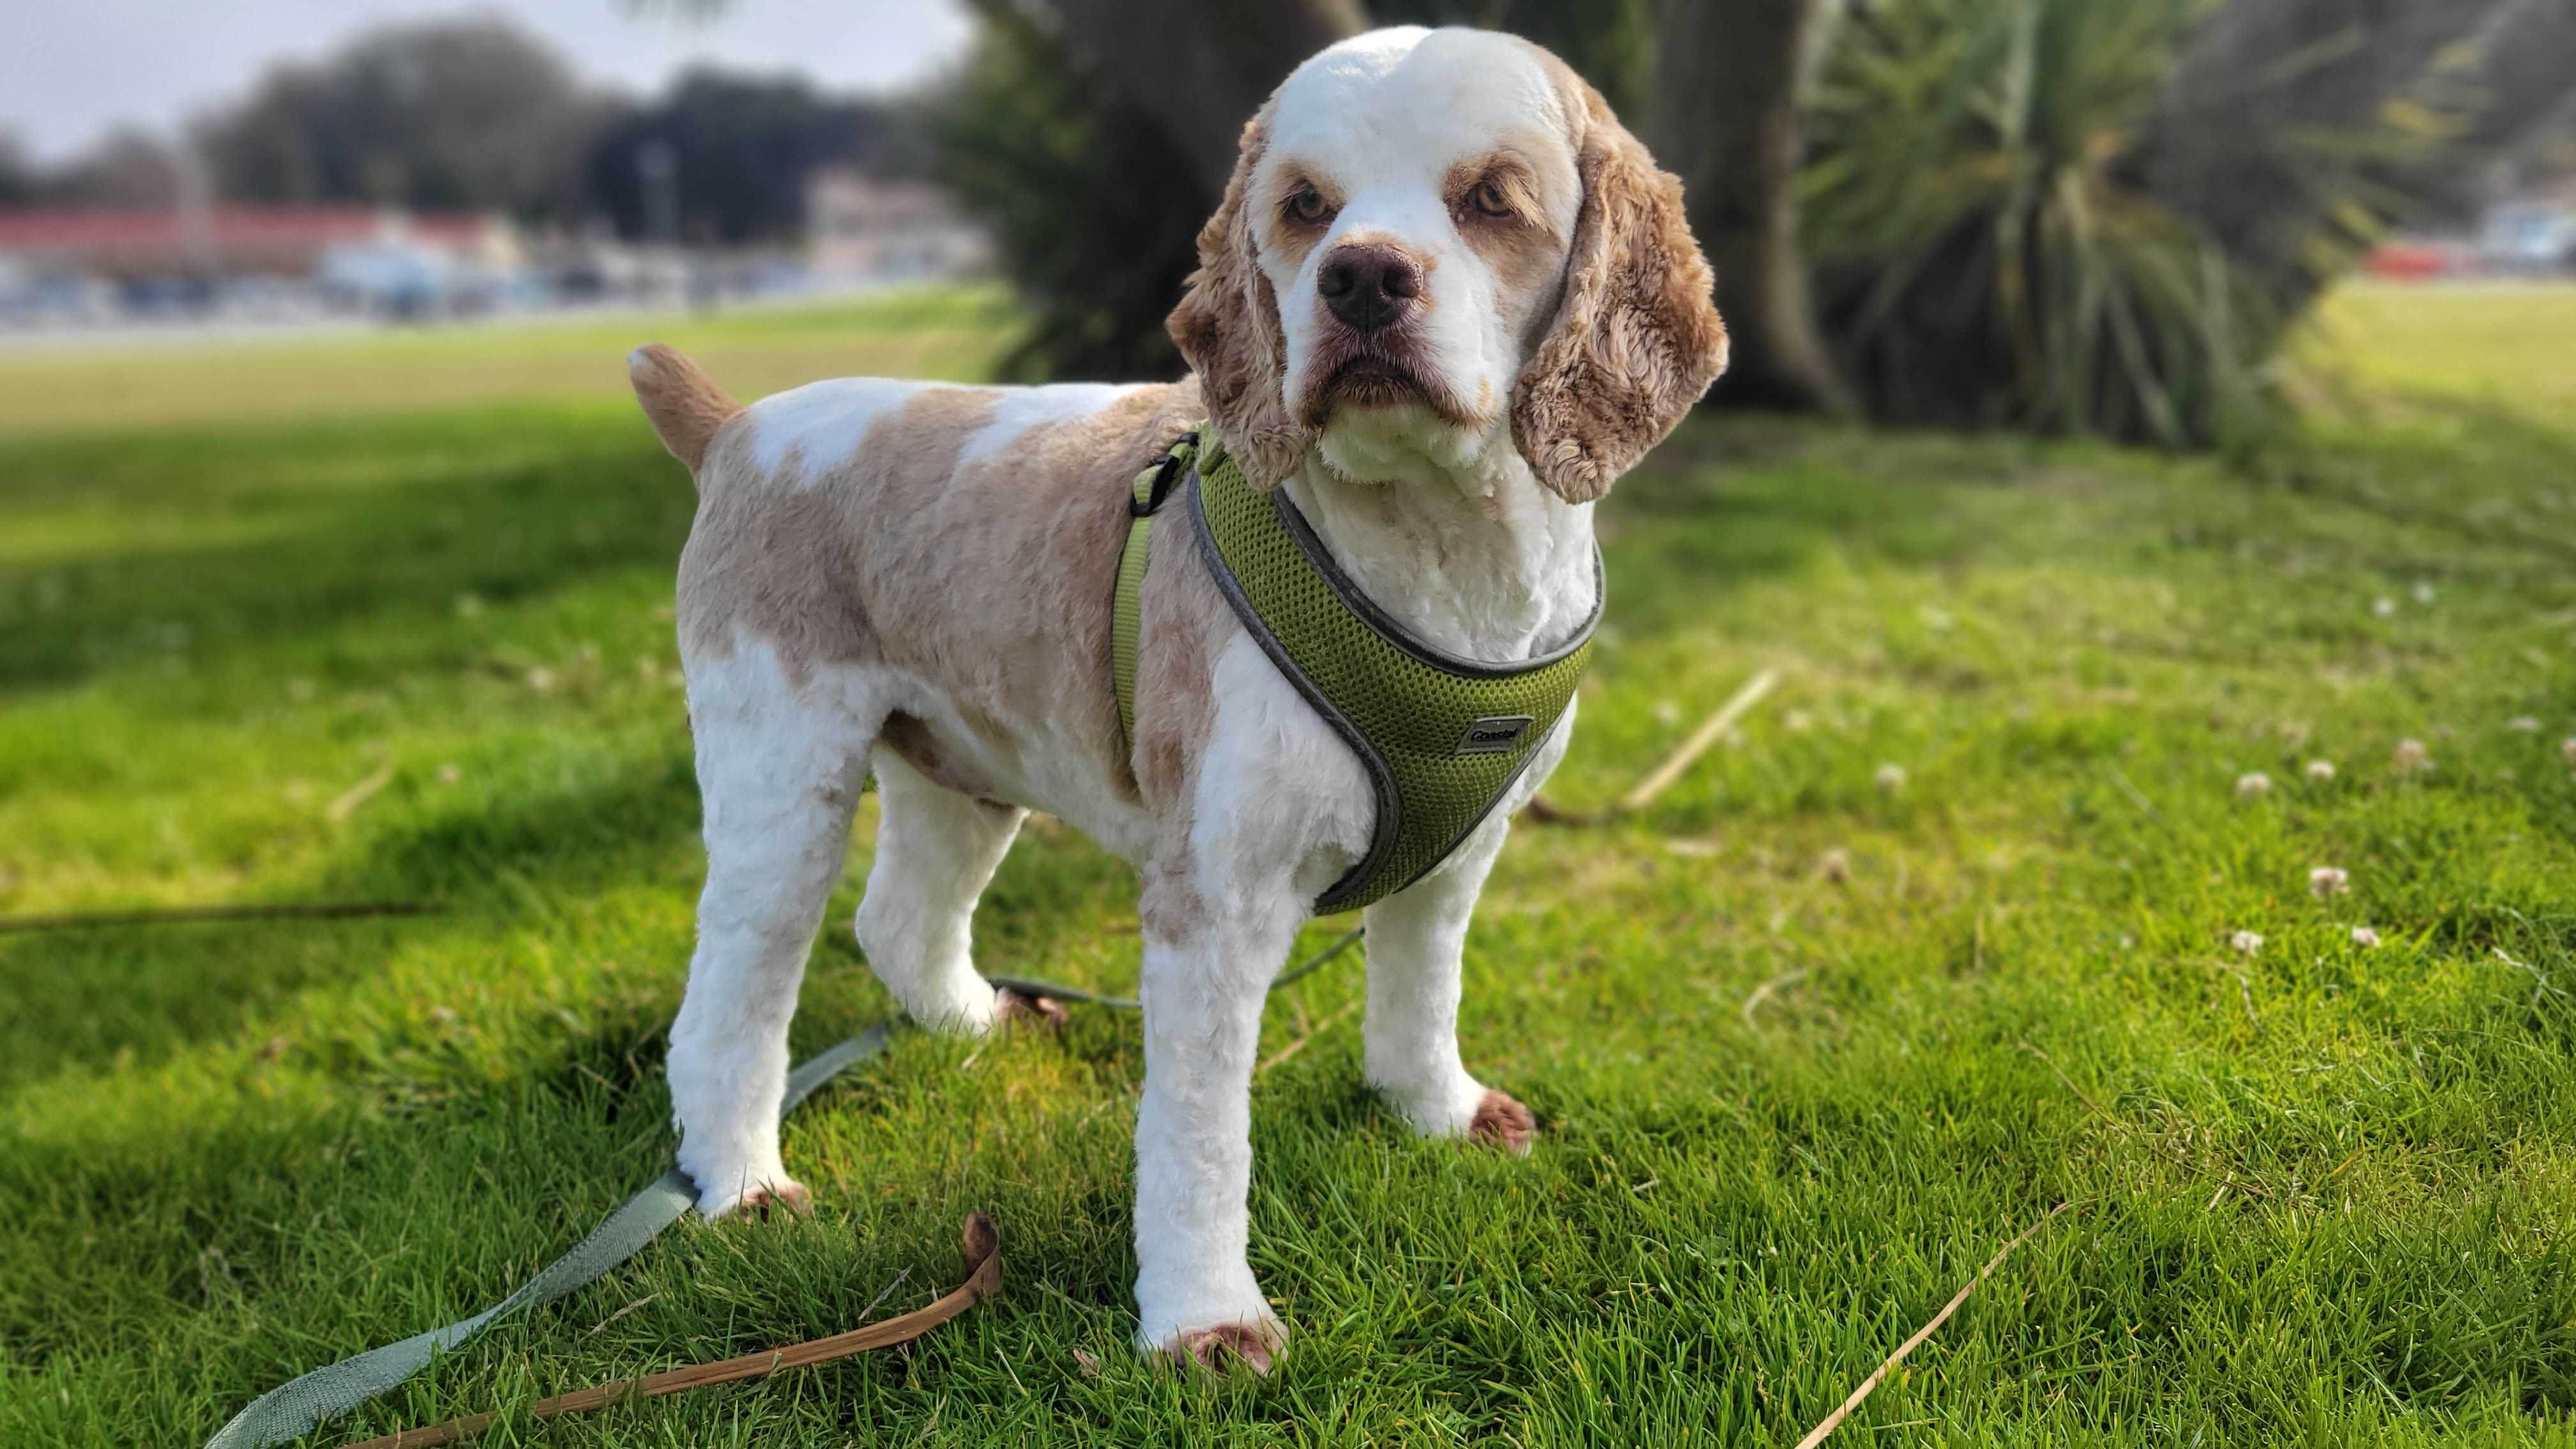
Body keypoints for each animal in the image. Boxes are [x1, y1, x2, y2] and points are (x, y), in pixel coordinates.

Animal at [627, 25, 1725, 1371]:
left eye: (1490, 200)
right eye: (1303, 207)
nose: (1361, 278)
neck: (1431, 553)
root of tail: (738, 431)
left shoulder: (1458, 849)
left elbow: (1421, 989)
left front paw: (1434, 1108)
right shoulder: (1217, 899)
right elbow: (1200, 1134)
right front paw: (1203, 1317)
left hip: (960, 764)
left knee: (898, 919)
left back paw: (977, 1026)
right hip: (782, 783)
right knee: (731, 997)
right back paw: (738, 1179)